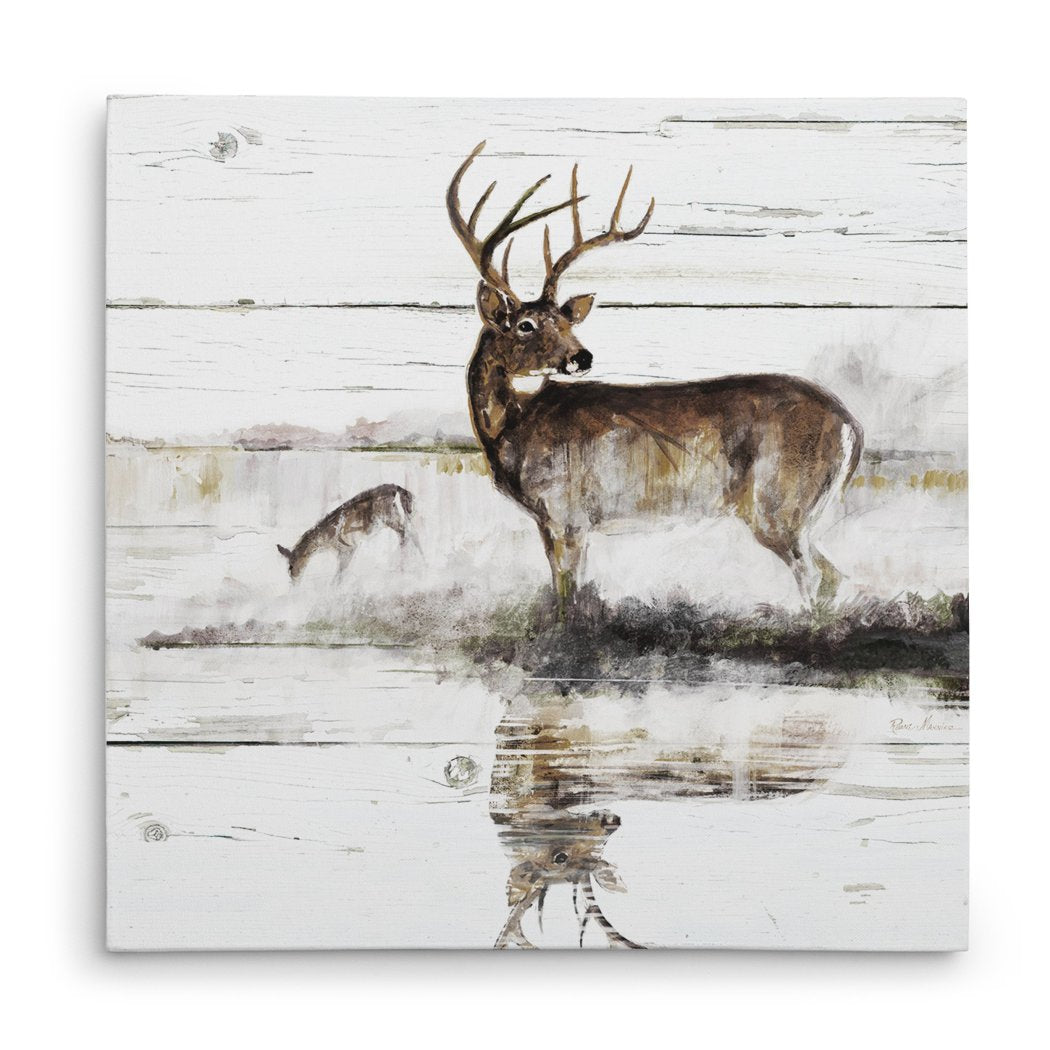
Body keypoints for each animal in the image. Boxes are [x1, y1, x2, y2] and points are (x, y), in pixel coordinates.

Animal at [276, 483, 418, 580]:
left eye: (291, 565)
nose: (293, 580)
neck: (326, 541)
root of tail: (398, 488)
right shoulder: (342, 551)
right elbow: (340, 572)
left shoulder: (349, 547)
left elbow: (340, 574)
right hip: (404, 515)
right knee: (413, 533)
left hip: (391, 518)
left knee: (407, 534)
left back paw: (402, 566)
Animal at [447, 143, 863, 617]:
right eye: (526, 325)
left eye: (564, 321)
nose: (582, 356)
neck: (512, 430)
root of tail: (851, 426)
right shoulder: (554, 521)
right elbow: (567, 589)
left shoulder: (567, 513)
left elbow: (569, 596)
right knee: (830, 577)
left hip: (779, 503)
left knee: (819, 577)